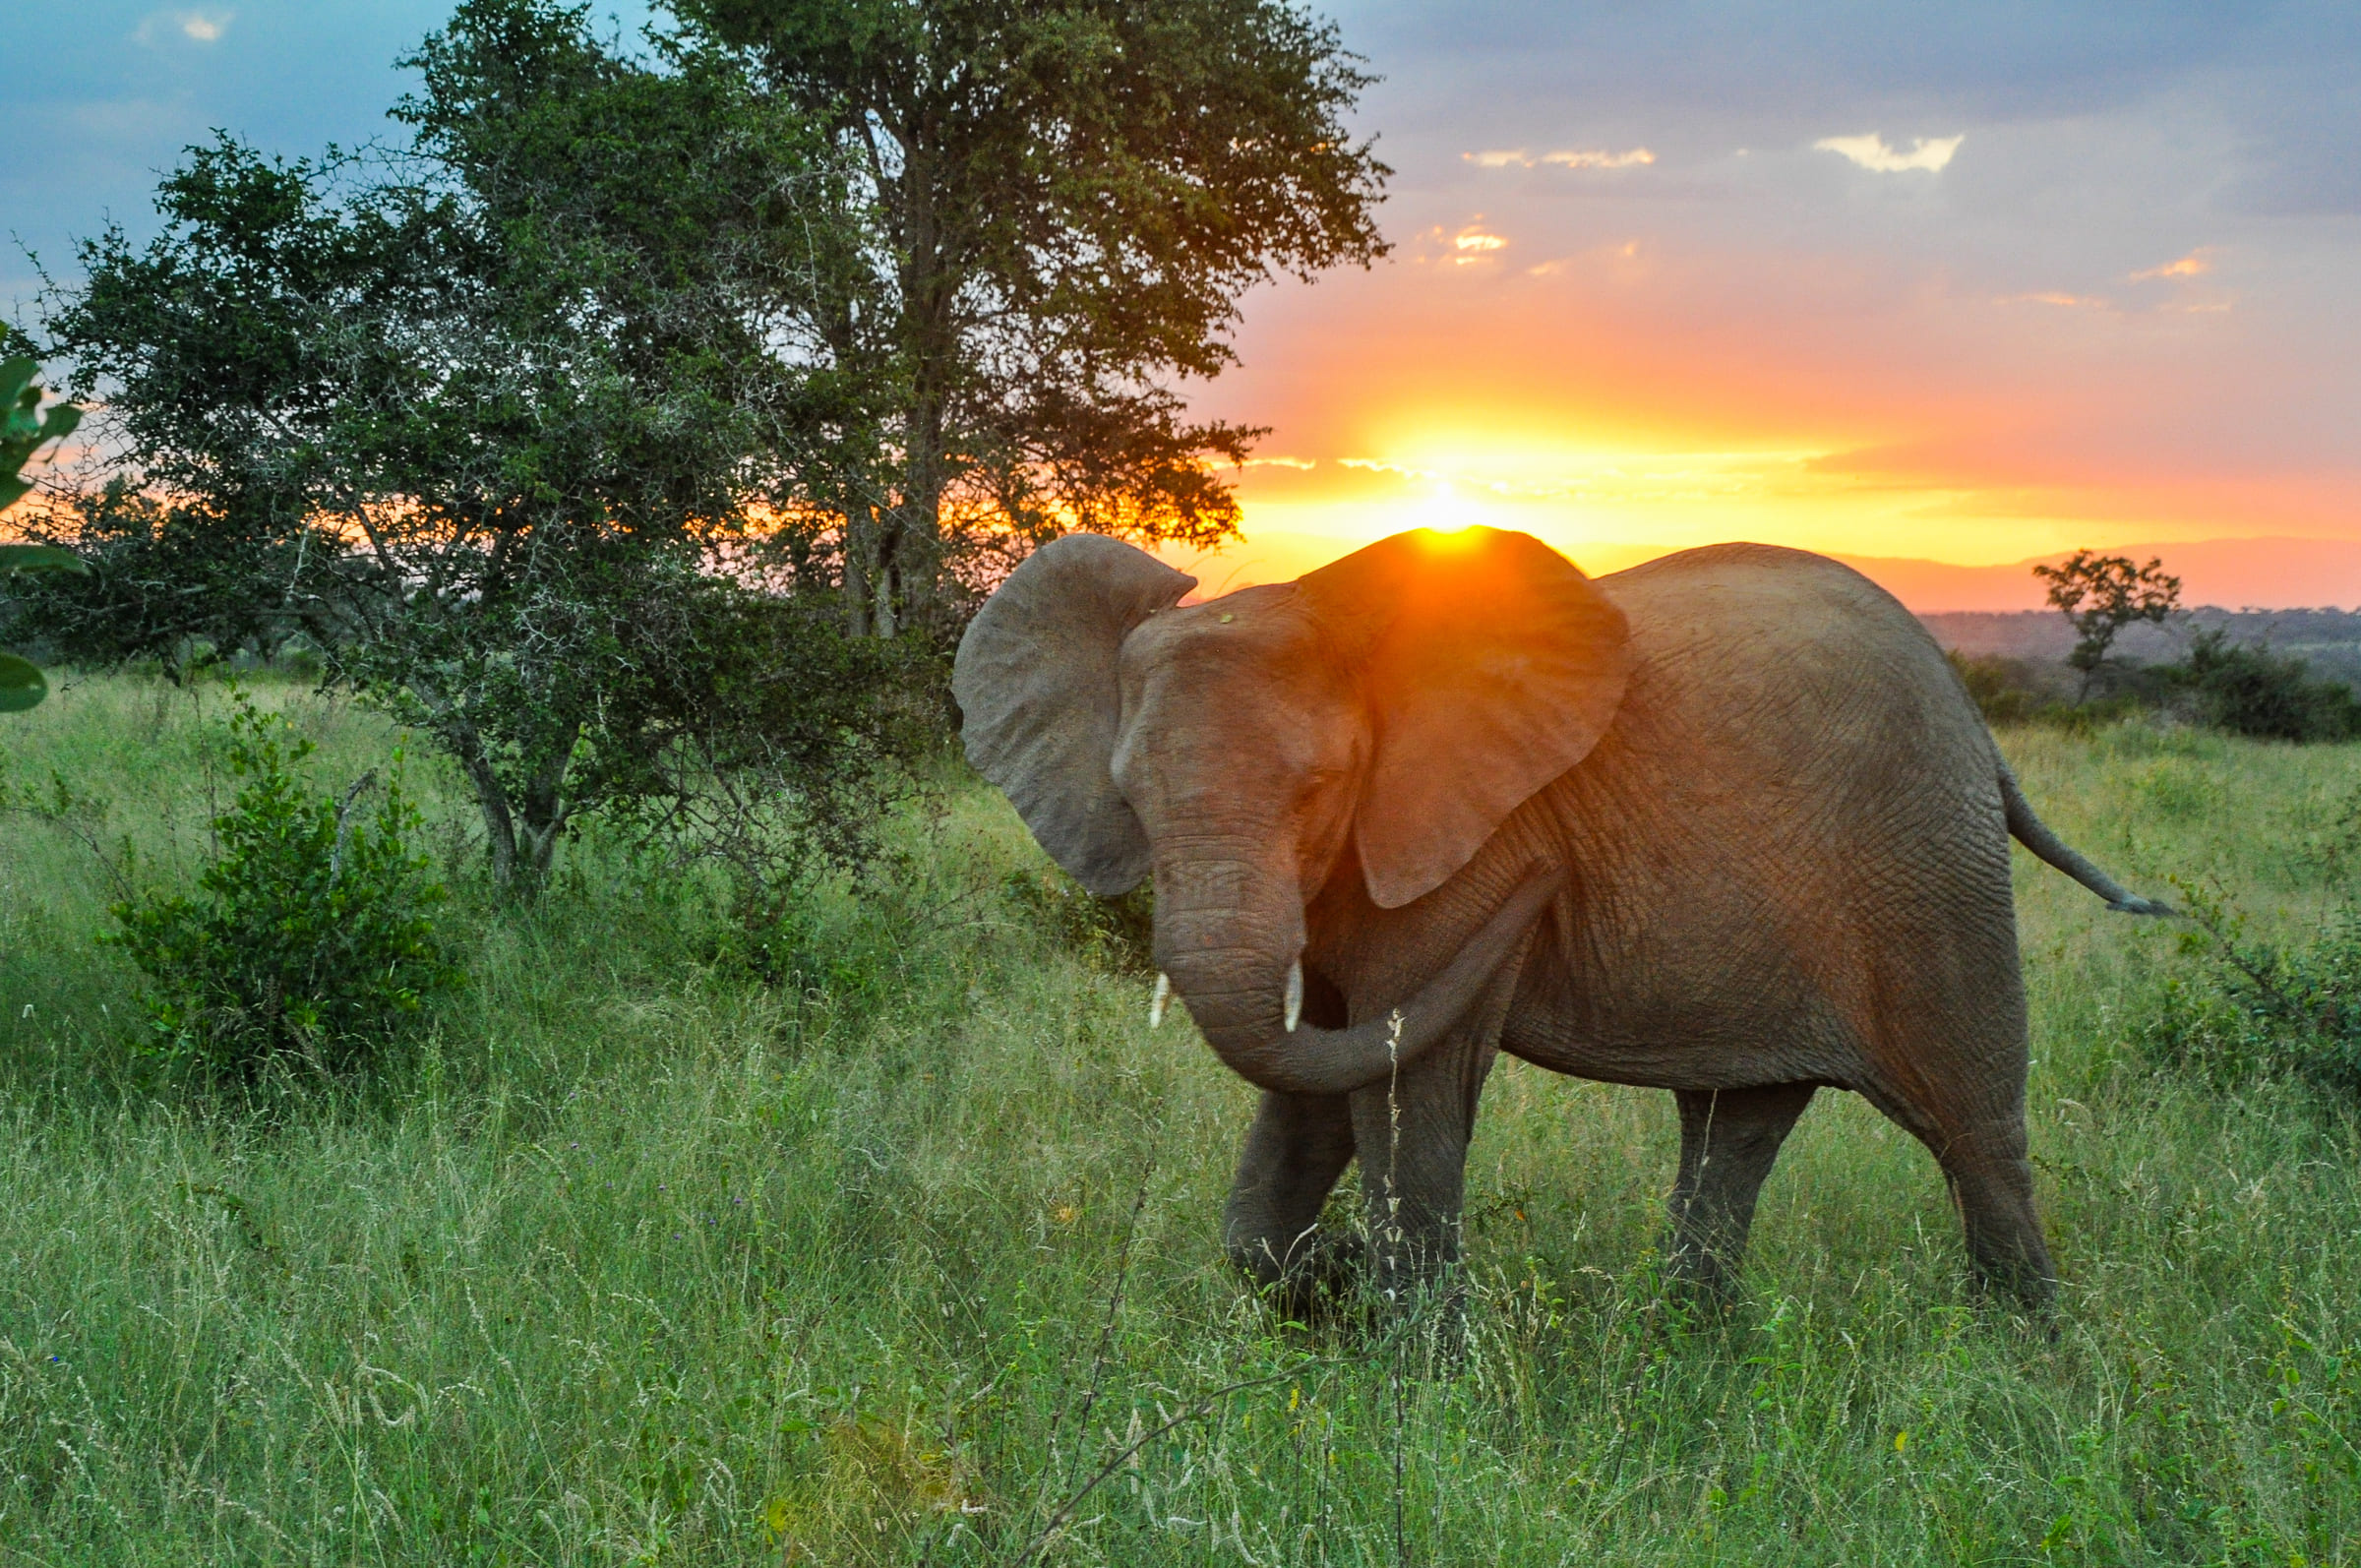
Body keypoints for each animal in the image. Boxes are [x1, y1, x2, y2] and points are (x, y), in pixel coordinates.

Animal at [948, 526, 2162, 1312]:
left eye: (1320, 789)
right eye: (1131, 795)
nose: (1338, 1271)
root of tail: (1976, 722)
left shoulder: (1465, 842)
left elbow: (1402, 1067)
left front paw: (1411, 1369)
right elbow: (1322, 1068)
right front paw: (1323, 1286)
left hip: (1931, 866)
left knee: (1974, 1131)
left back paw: (2019, 1359)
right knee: (1736, 1124)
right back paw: (1688, 1353)